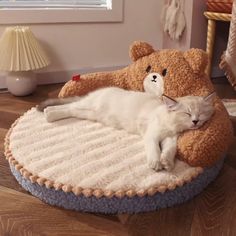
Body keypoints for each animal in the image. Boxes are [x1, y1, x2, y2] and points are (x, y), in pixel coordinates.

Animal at [37, 88, 216, 171]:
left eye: (201, 114)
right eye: (187, 114)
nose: (195, 121)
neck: (171, 125)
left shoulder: (170, 138)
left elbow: (169, 150)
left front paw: (167, 162)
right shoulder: (152, 135)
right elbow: (154, 149)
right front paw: (156, 163)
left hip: (88, 113)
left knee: (71, 109)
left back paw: (49, 114)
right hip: (87, 106)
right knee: (68, 106)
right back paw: (48, 113)